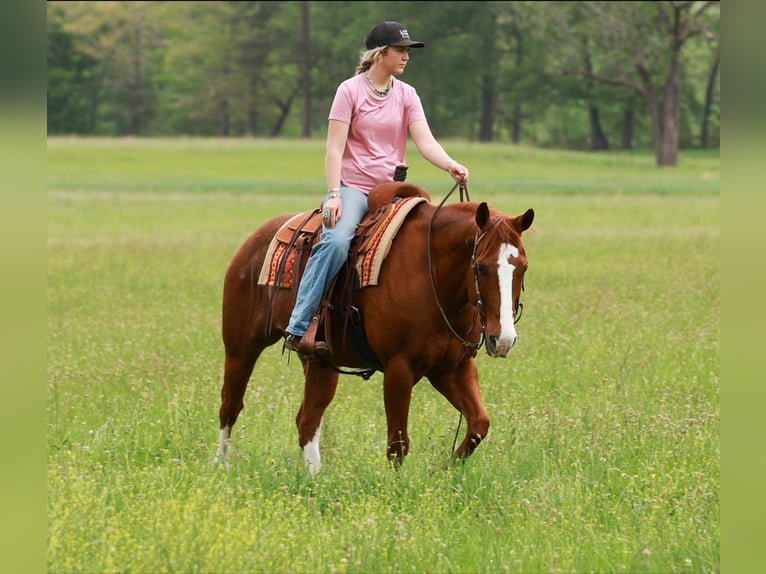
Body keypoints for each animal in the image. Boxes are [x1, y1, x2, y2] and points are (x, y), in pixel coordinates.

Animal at [214, 181, 534, 475]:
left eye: (523, 267)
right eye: (480, 267)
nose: (502, 339)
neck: (433, 275)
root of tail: (257, 239)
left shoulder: (453, 368)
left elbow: (479, 424)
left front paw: (443, 470)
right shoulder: (399, 369)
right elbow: (398, 444)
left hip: (320, 363)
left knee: (307, 420)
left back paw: (317, 478)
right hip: (241, 348)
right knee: (231, 406)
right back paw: (221, 466)